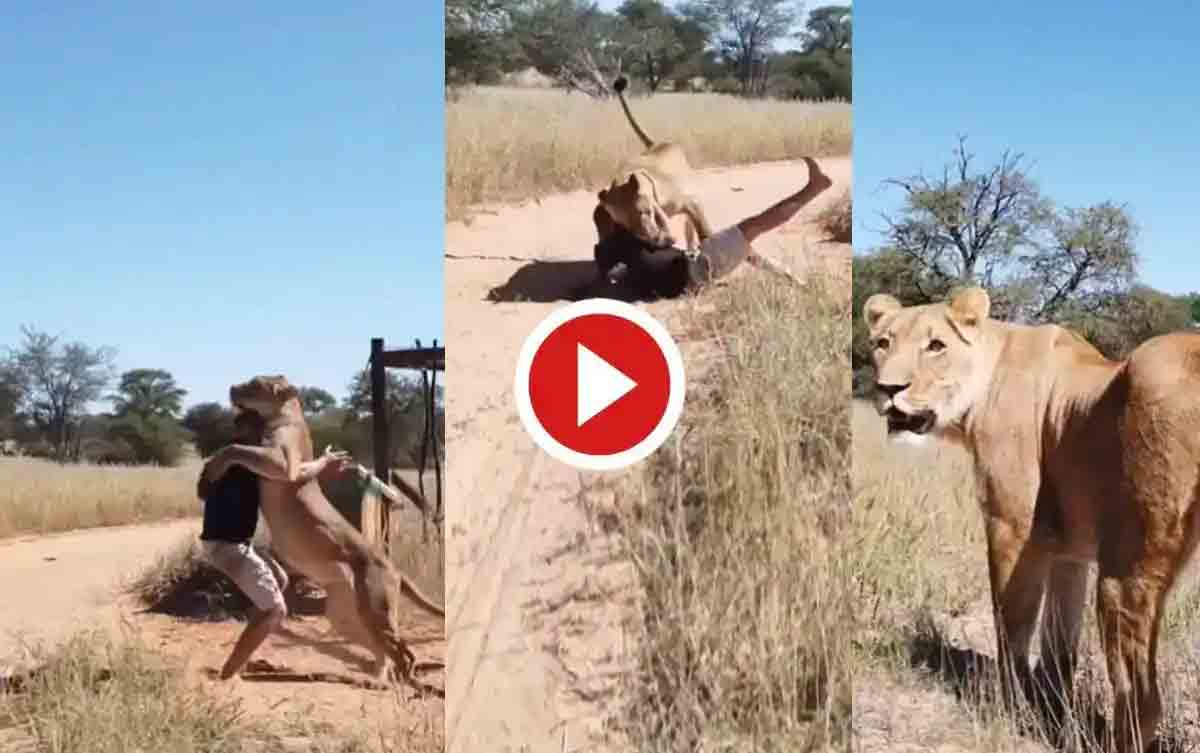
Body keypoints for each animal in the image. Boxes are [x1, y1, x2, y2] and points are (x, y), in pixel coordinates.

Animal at [202, 375, 445, 696]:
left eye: (254, 383)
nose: (231, 388)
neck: (286, 415)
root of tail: (393, 567)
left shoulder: (284, 463)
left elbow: (237, 450)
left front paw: (213, 466)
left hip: (375, 609)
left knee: (405, 653)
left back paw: (408, 688)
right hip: (345, 615)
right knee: (382, 652)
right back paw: (376, 681)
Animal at [593, 76, 713, 251]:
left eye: (645, 212)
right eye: (626, 226)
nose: (657, 240)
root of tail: (656, 143)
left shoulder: (690, 202)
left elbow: (704, 230)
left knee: (689, 227)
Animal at [863, 287, 1200, 753]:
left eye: (936, 346)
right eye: (883, 343)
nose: (889, 388)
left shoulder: (1013, 524)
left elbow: (1013, 620)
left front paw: (1012, 706)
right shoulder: (1070, 551)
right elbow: (1060, 643)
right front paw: (1052, 709)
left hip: (1125, 572)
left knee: (1143, 696)